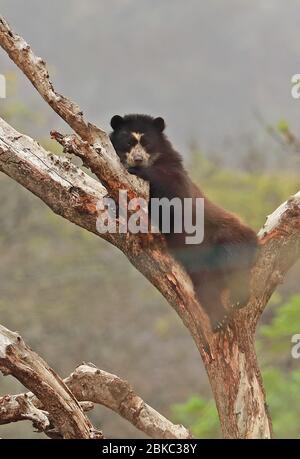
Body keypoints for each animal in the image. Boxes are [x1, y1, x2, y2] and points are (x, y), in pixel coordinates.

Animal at [110, 113, 258, 332]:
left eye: (147, 143)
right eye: (128, 142)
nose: (137, 160)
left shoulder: (175, 173)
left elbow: (174, 191)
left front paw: (140, 172)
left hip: (228, 233)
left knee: (234, 260)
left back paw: (238, 297)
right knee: (205, 286)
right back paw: (219, 319)